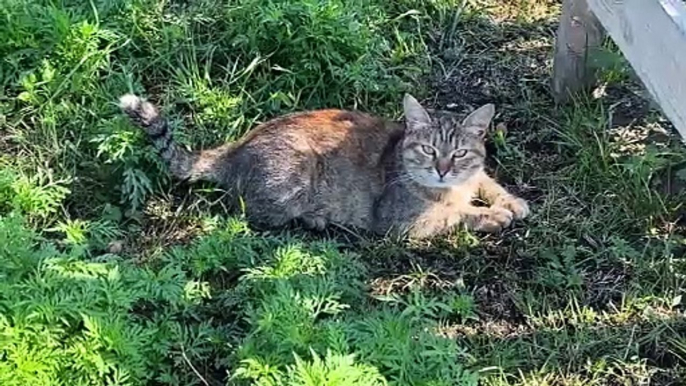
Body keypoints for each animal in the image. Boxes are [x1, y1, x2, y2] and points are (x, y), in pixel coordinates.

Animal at [121, 93, 532, 238]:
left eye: (459, 153)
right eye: (429, 150)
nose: (443, 169)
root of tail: (236, 147)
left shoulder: (475, 176)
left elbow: (488, 182)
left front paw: (510, 201)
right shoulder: (400, 223)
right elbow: (456, 214)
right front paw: (491, 215)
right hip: (296, 174)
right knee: (253, 211)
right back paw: (314, 219)